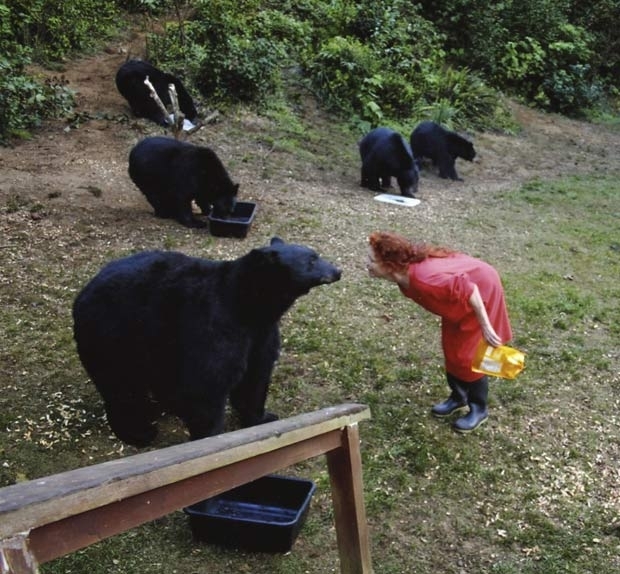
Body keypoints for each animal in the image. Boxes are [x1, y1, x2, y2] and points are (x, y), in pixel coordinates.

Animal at [73, 238, 344, 450]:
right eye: (311, 260)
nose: (337, 270)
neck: (249, 308)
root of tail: (83, 293)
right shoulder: (213, 323)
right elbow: (208, 383)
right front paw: (210, 438)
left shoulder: (261, 333)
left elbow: (256, 375)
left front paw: (263, 417)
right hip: (114, 333)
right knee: (120, 385)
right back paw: (139, 431)